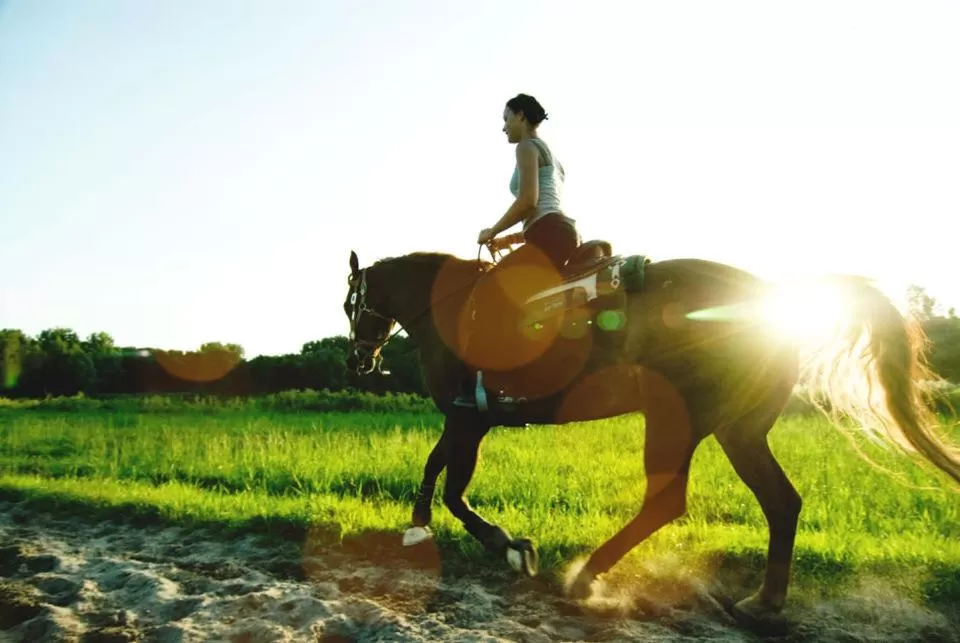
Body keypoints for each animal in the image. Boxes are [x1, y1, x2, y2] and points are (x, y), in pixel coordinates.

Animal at [341, 239, 959, 624]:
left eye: (351, 302)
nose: (358, 360)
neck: (451, 308)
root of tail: (769, 296)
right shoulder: (468, 417)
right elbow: (437, 468)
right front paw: (421, 527)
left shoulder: (468, 416)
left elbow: (452, 484)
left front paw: (509, 546)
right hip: (740, 431)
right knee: (782, 503)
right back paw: (763, 602)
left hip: (674, 418)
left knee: (667, 502)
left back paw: (587, 576)